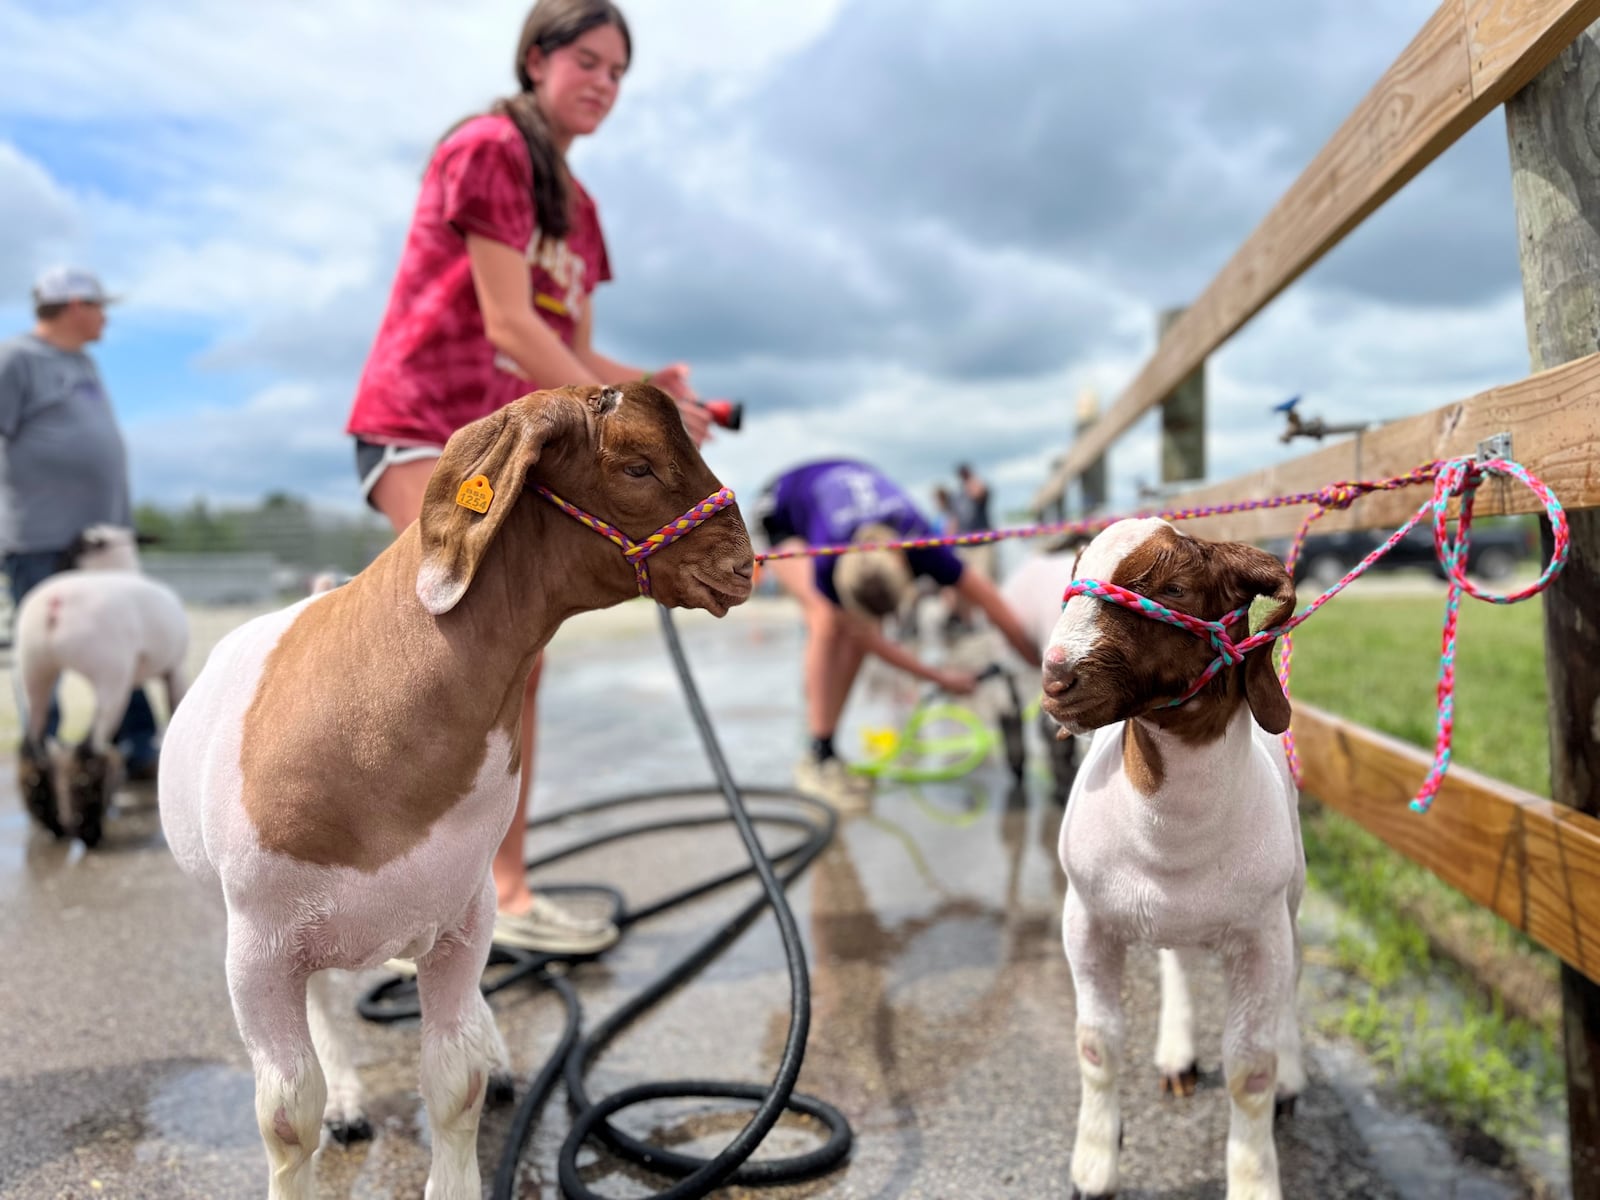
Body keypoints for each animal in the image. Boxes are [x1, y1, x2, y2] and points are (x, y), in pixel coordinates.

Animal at [14, 524, 187, 844]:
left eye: (72, 549)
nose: (57, 565)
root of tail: (55, 602)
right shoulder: (175, 668)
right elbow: (174, 710)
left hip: (34, 669)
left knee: (33, 746)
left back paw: (52, 823)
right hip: (109, 672)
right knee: (88, 751)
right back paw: (88, 830)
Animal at [157, 387, 755, 1200]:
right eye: (637, 465)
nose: (745, 564)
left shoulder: (461, 919)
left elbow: (454, 1081)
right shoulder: (258, 944)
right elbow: (286, 1114)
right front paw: (325, 1110)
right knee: (323, 1008)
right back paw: (347, 1100)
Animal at [1043, 518, 1305, 1200]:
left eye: (1173, 588)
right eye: (1073, 575)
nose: (1055, 678)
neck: (1169, 840)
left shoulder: (1261, 932)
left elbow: (1251, 1069)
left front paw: (1254, 1180)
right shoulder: (1084, 918)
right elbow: (1097, 1045)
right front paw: (1094, 1164)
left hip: (1289, 902)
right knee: (1177, 961)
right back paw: (1177, 1052)